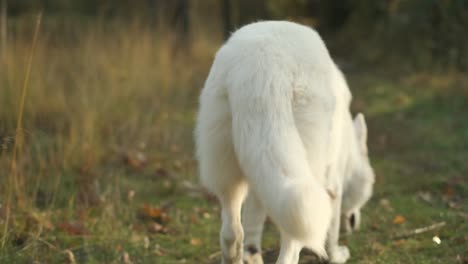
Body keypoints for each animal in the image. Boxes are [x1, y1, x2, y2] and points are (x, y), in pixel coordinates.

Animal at [196, 21, 374, 264]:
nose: (356, 224)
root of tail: (263, 69)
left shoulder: (259, 185)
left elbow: (252, 228)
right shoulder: (333, 183)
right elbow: (332, 228)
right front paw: (336, 254)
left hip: (229, 175)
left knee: (232, 234)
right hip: (304, 183)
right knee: (291, 248)